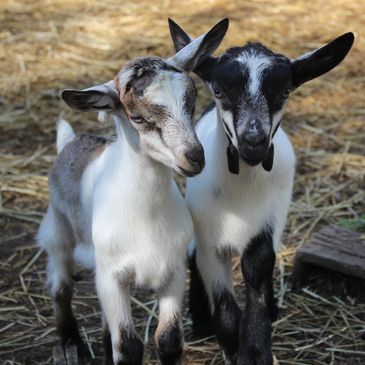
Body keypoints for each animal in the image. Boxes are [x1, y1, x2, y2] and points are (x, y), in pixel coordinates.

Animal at [38, 19, 229, 364]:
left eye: (191, 103)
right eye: (138, 117)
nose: (194, 157)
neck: (146, 216)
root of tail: (71, 142)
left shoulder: (173, 271)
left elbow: (167, 339)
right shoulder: (112, 277)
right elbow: (128, 346)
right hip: (57, 232)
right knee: (60, 286)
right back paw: (71, 341)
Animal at [169, 20, 354, 364]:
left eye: (284, 92)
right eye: (219, 91)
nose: (253, 141)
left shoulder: (266, 225)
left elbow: (258, 270)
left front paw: (255, 349)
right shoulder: (210, 238)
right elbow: (223, 306)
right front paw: (230, 344)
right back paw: (200, 323)